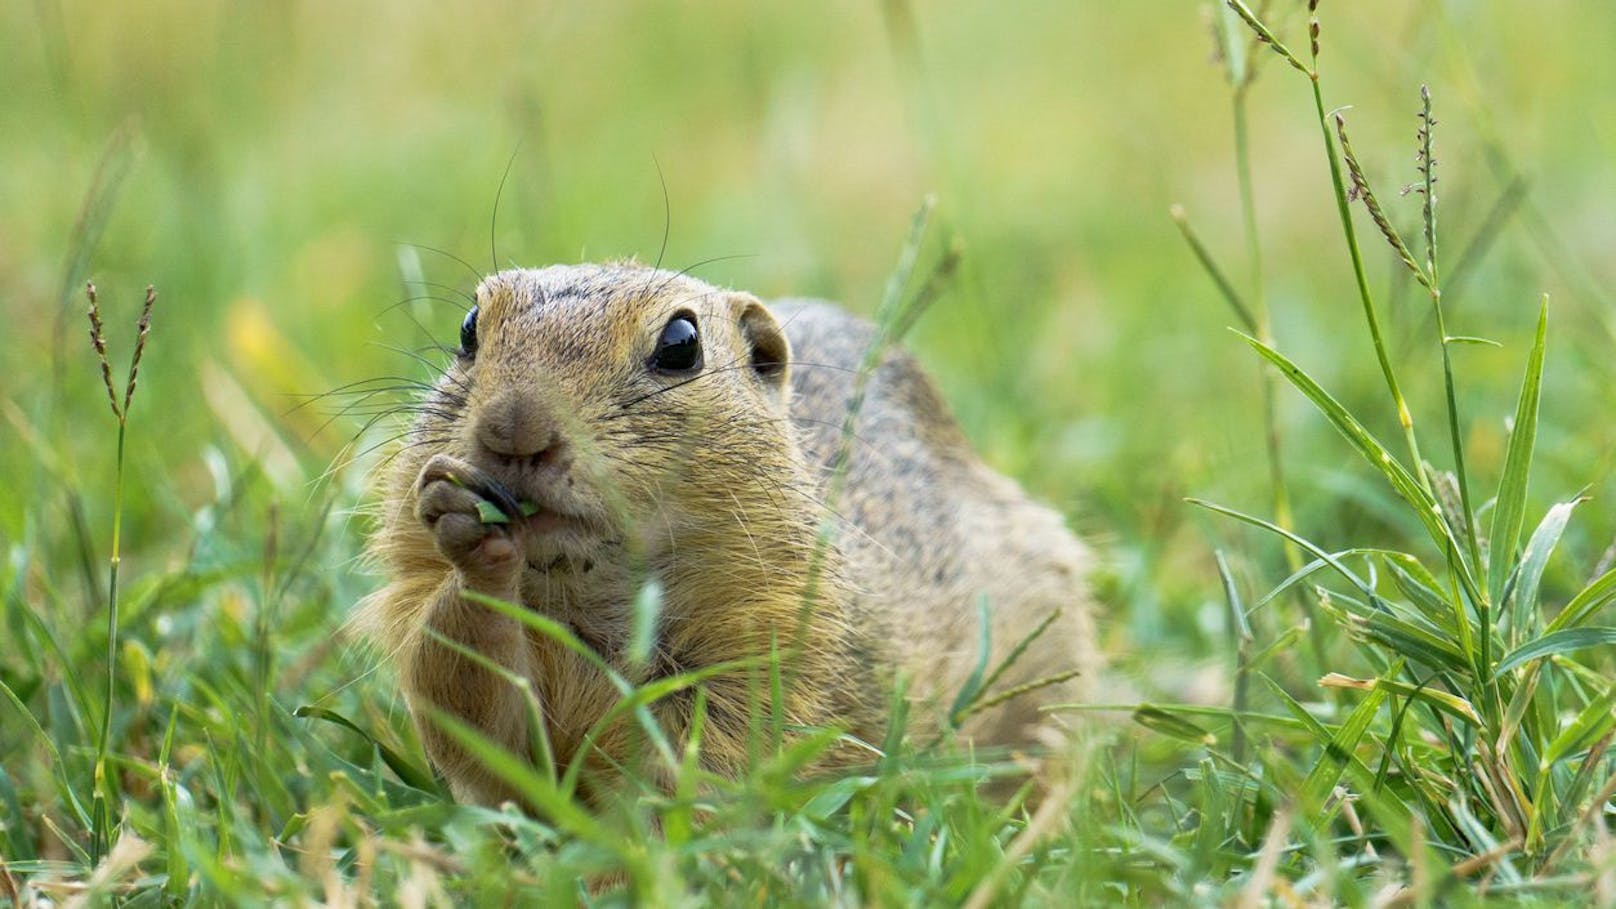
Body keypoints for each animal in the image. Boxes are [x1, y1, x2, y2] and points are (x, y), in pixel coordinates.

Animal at [360, 260, 1098, 799]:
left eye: (681, 343)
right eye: (469, 328)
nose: (514, 429)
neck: (588, 593)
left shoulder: (775, 640)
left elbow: (693, 767)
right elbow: (479, 714)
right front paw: (464, 525)